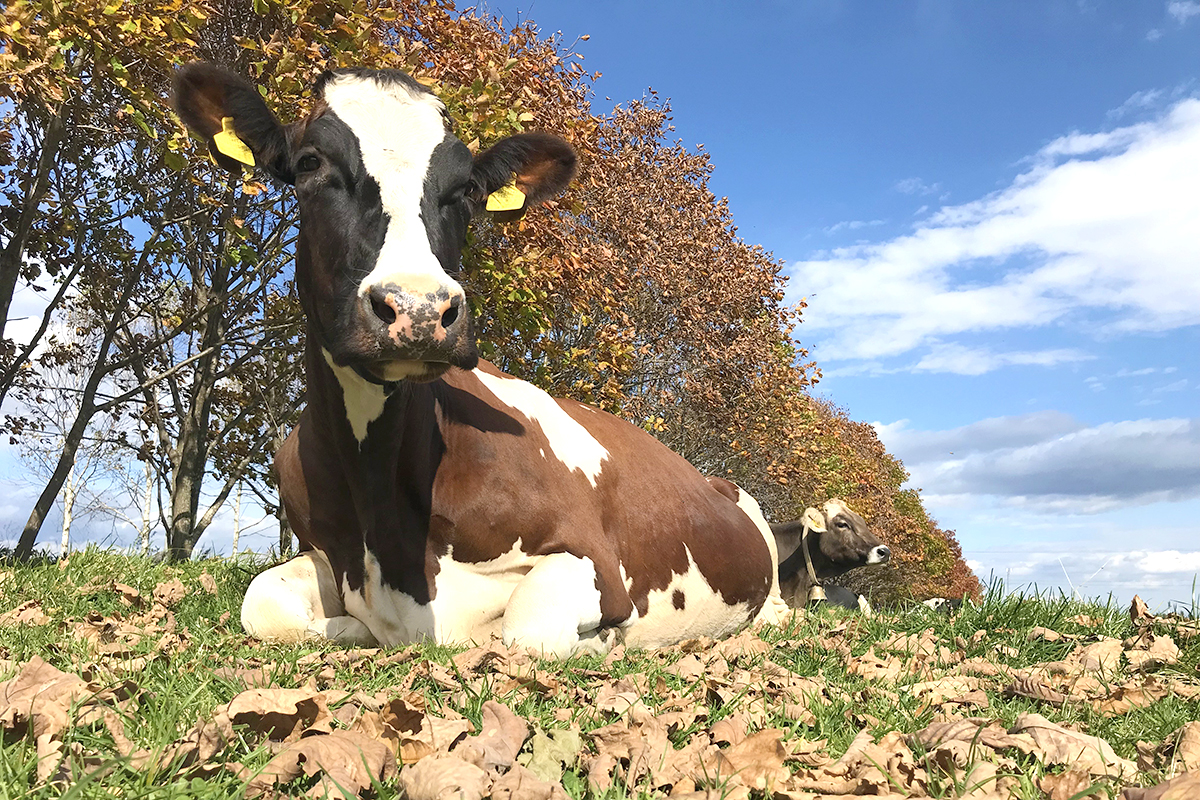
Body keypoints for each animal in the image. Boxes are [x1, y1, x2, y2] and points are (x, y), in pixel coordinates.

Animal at [172, 63, 789, 658]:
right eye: (308, 163)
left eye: (467, 187)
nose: (419, 308)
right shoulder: (322, 551)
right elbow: (261, 600)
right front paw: (352, 632)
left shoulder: (594, 560)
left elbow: (526, 629)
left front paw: (601, 641)